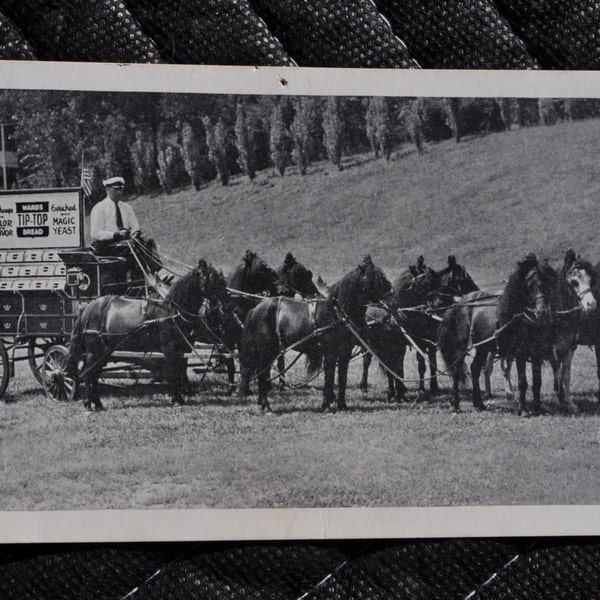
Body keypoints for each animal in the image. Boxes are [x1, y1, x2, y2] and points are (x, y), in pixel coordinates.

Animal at [65, 258, 230, 408]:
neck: (171, 310)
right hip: (94, 351)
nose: (227, 304)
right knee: (88, 374)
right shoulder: (169, 348)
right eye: (213, 280)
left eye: (222, 280)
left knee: (93, 375)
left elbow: (179, 372)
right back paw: (88, 404)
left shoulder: (181, 349)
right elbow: (172, 373)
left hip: (104, 352)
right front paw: (177, 400)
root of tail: (88, 308)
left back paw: (97, 404)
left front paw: (180, 398)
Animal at [239, 253, 394, 412]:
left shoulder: (344, 354)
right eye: (374, 279)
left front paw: (342, 405)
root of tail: (256, 308)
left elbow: (342, 379)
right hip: (267, 351)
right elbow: (330, 378)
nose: (392, 299)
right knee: (263, 374)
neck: (337, 313)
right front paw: (326, 404)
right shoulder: (331, 354)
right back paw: (266, 406)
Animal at [360, 254, 478, 400]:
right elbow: (399, 367)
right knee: (368, 361)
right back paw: (365, 386)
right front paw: (398, 391)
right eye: (462, 280)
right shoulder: (401, 344)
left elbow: (428, 364)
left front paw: (431, 388)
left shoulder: (426, 342)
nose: (477, 292)